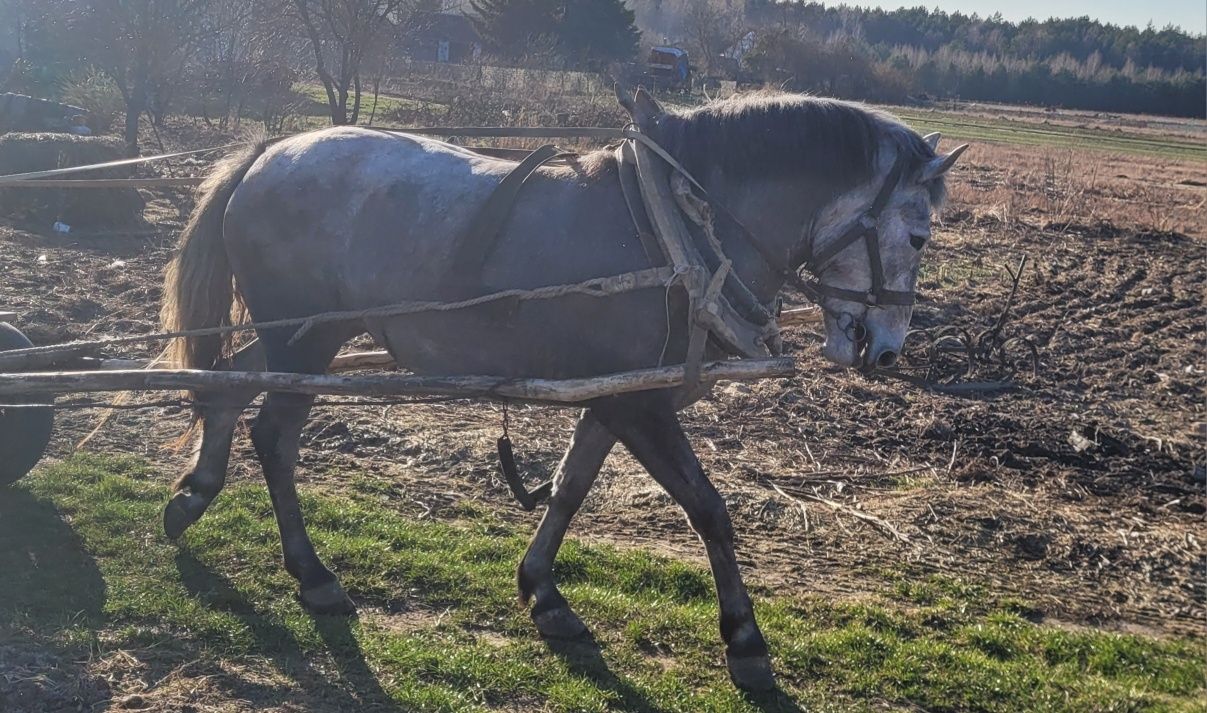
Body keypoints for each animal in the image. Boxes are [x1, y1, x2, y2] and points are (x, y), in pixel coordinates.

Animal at [158, 90, 970, 690]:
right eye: (920, 236)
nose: (887, 350)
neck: (680, 229)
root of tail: (269, 151)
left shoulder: (617, 398)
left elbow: (569, 489)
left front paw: (542, 592)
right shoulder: (640, 406)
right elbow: (709, 510)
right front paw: (743, 638)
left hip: (305, 334)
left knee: (226, 390)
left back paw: (194, 496)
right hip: (306, 336)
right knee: (274, 433)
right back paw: (312, 573)